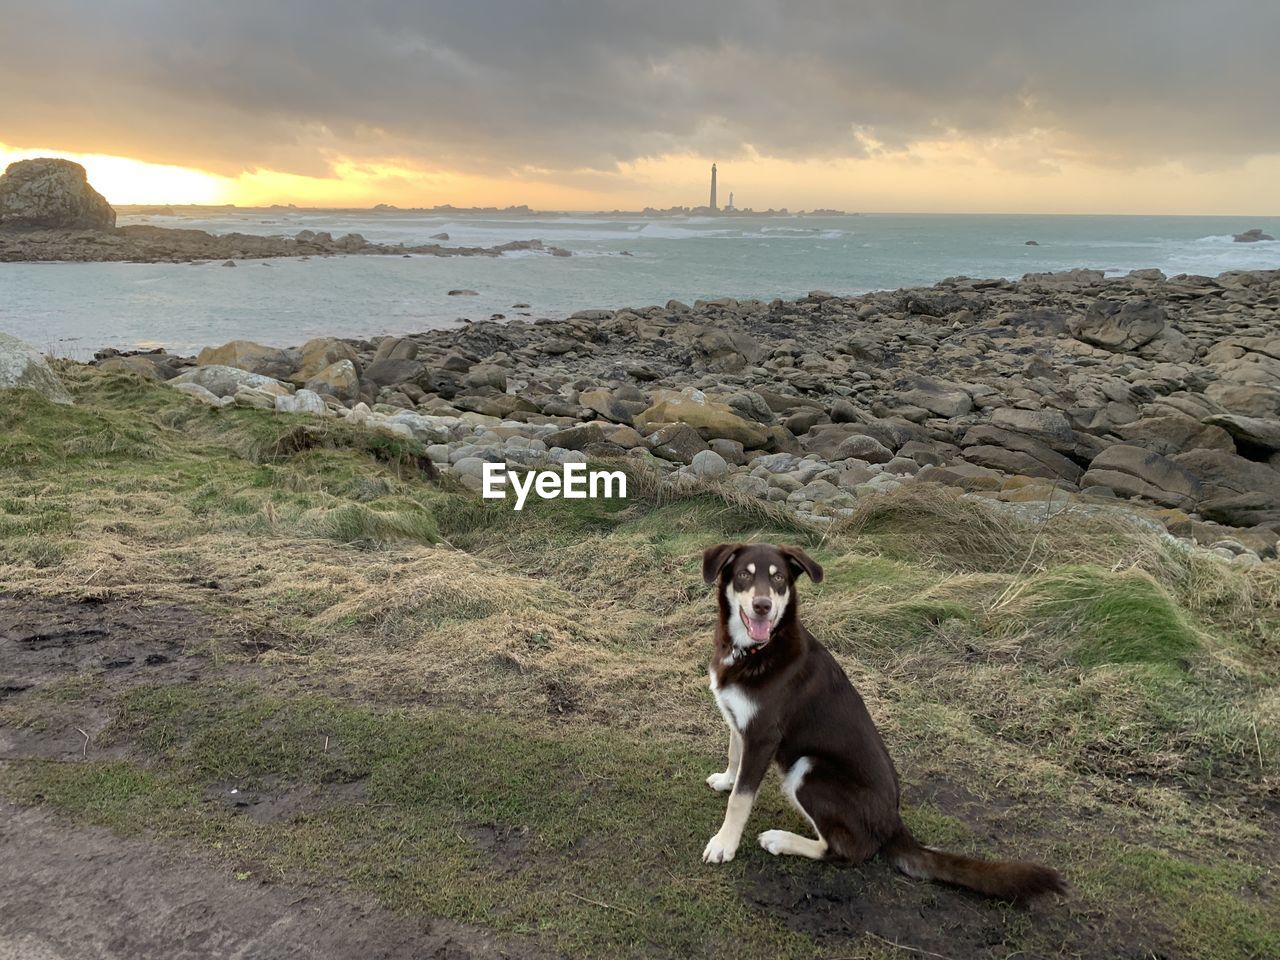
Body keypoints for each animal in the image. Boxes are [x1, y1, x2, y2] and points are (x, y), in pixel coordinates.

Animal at [696, 545, 1064, 906]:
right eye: (744, 575)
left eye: (779, 580)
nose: (763, 606)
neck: (754, 650)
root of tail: (893, 821)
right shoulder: (741, 722)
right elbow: (734, 755)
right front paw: (727, 780)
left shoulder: (764, 735)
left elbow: (741, 799)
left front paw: (724, 844)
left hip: (808, 768)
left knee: (848, 849)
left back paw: (781, 840)